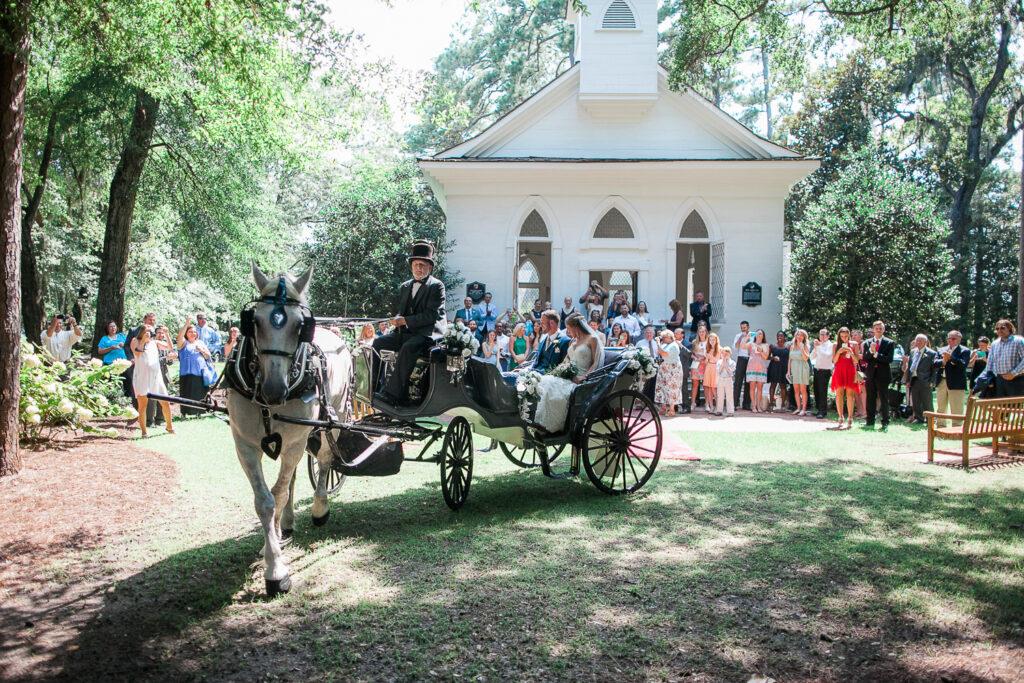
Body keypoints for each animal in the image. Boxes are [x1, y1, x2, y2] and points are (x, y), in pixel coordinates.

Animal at [228, 264, 352, 593]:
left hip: (332, 418)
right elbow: (265, 500)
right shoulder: (244, 443)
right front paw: (272, 550)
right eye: (254, 321)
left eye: (300, 326)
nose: (274, 390)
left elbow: (279, 493)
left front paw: (276, 570)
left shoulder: (296, 440)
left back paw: (320, 507)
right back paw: (285, 524)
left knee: (324, 460)